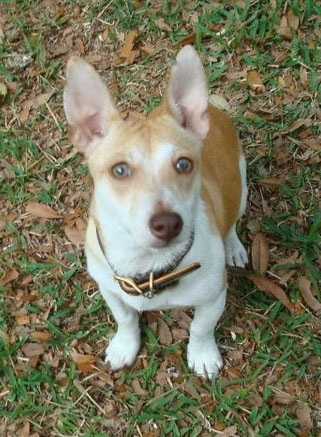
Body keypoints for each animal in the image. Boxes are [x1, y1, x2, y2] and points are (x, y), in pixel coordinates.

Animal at [63, 45, 248, 378]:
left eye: (183, 164)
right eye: (120, 170)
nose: (168, 223)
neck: (148, 265)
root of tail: (213, 111)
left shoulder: (214, 297)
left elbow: (201, 328)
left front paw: (202, 354)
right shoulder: (109, 289)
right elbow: (125, 318)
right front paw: (124, 346)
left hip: (242, 187)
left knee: (232, 223)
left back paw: (234, 247)